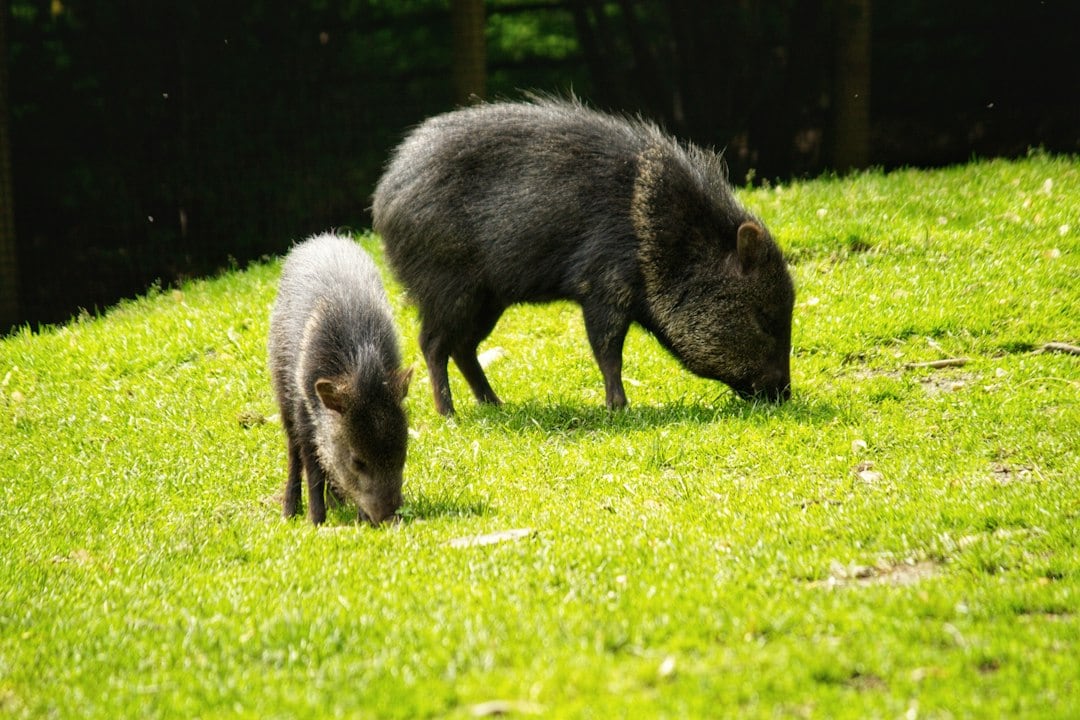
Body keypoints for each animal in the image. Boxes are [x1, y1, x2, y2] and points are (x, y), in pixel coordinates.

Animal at [268, 232, 411, 524]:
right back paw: (289, 512)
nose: (389, 518)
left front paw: (357, 518)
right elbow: (312, 469)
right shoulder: (304, 414)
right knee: (294, 454)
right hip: (283, 396)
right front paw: (316, 522)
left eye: (402, 453)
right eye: (357, 461)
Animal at [372, 98, 793, 416]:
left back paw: (495, 405)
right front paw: (619, 408)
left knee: (462, 348)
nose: (785, 395)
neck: (657, 233)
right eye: (765, 319)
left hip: (488, 300)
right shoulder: (603, 287)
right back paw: (449, 413)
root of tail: (385, 195)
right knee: (432, 344)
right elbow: (608, 352)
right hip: (449, 289)